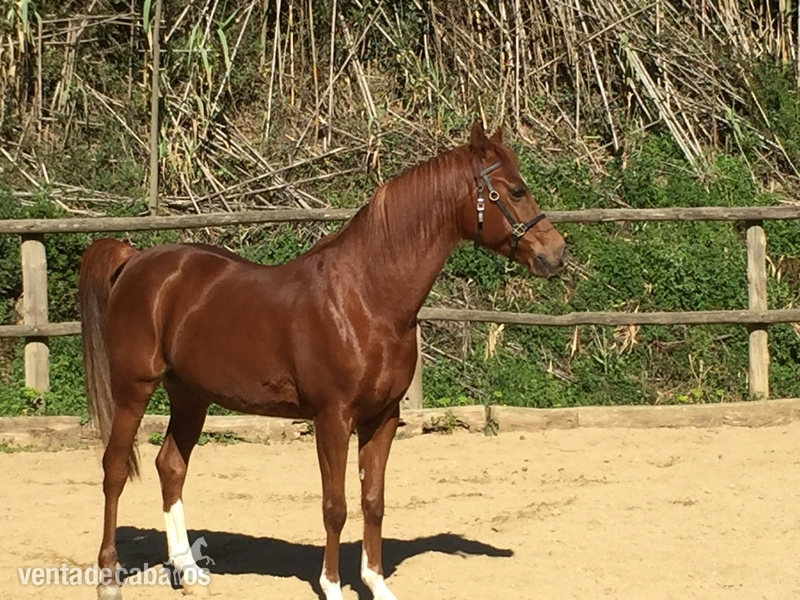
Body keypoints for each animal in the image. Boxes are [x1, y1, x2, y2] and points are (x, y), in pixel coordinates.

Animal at [78, 121, 566, 600]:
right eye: (516, 190)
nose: (557, 252)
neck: (366, 297)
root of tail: (136, 259)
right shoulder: (333, 418)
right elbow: (336, 506)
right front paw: (332, 586)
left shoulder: (383, 418)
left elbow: (373, 501)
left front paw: (376, 584)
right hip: (134, 388)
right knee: (115, 469)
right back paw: (108, 577)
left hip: (190, 395)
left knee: (171, 467)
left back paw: (189, 571)